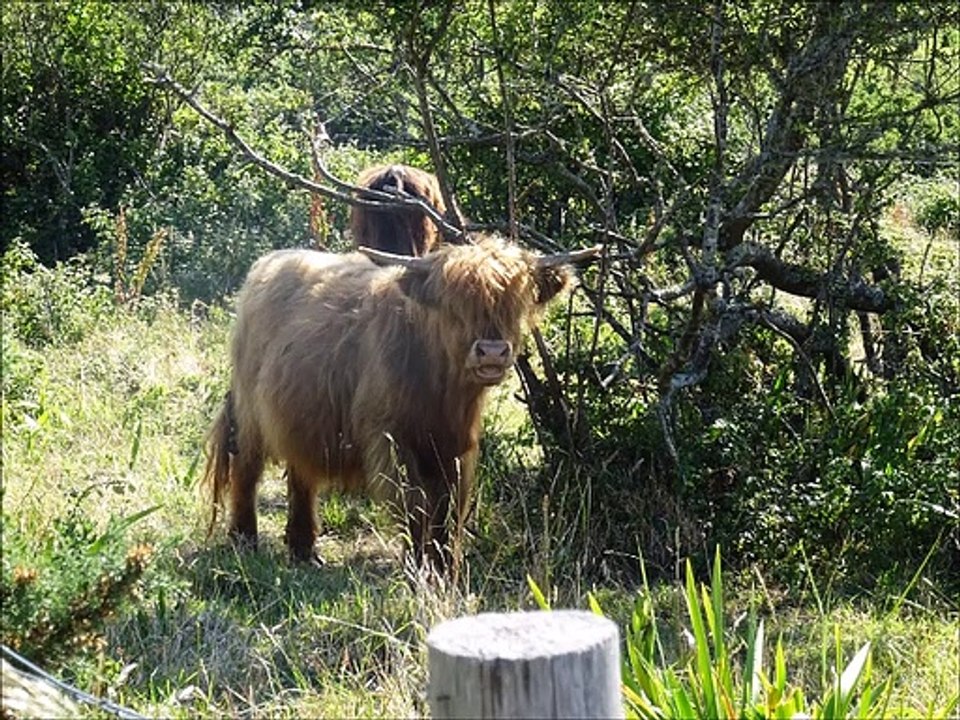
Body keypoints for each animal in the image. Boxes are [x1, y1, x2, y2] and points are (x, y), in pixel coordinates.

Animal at [202, 235, 599, 574]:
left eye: (515, 304)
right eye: (454, 307)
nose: (491, 352)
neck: (441, 390)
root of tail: (266, 264)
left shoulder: (456, 447)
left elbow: (448, 507)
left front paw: (444, 566)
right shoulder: (391, 438)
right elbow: (415, 502)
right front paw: (418, 565)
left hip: (301, 416)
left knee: (302, 472)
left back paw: (304, 551)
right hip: (250, 413)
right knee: (246, 469)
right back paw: (244, 540)